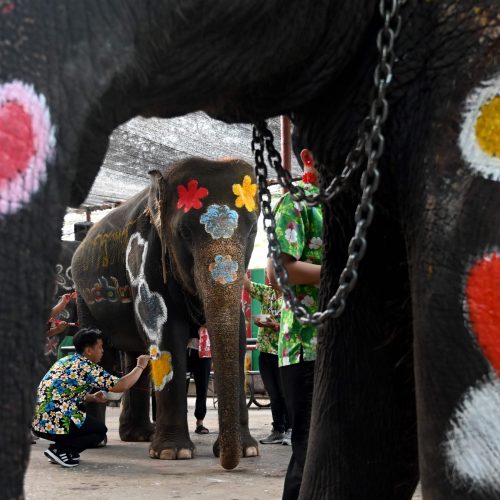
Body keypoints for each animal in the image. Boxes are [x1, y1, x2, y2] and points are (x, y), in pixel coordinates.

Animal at [71, 157, 262, 468]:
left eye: (253, 231)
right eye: (184, 233)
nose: (226, 461)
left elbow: (237, 336)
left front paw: (248, 450)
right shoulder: (144, 255)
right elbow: (165, 332)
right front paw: (173, 453)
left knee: (136, 354)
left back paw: (139, 436)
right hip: (84, 297)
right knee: (104, 354)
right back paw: (100, 440)